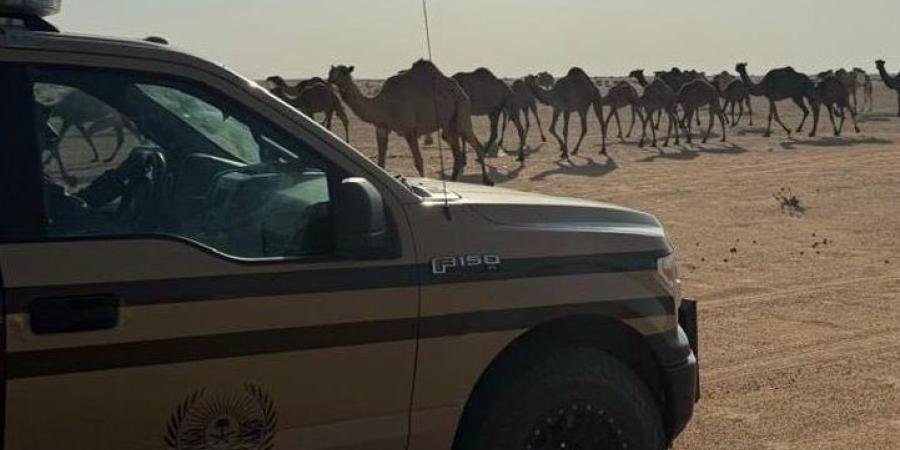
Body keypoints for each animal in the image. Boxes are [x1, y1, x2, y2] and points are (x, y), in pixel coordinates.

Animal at [326, 61, 492, 185]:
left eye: (343, 72)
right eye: (331, 71)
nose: (329, 80)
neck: (383, 104)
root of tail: (462, 92)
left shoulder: (409, 130)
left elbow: (418, 161)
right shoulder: (381, 128)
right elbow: (380, 162)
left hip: (462, 111)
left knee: (475, 144)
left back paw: (487, 180)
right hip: (448, 123)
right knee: (457, 154)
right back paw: (455, 181)